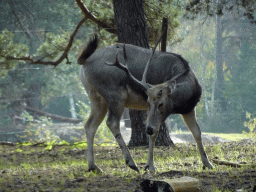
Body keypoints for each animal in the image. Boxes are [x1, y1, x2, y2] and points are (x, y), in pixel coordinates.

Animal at [78, 35, 214, 174]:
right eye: (148, 102)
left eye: (161, 104)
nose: (147, 129)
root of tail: (84, 62)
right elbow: (154, 134)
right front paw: (150, 166)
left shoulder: (189, 109)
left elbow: (197, 131)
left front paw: (208, 163)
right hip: (115, 94)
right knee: (112, 122)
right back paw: (132, 163)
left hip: (96, 98)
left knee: (89, 125)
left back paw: (93, 166)